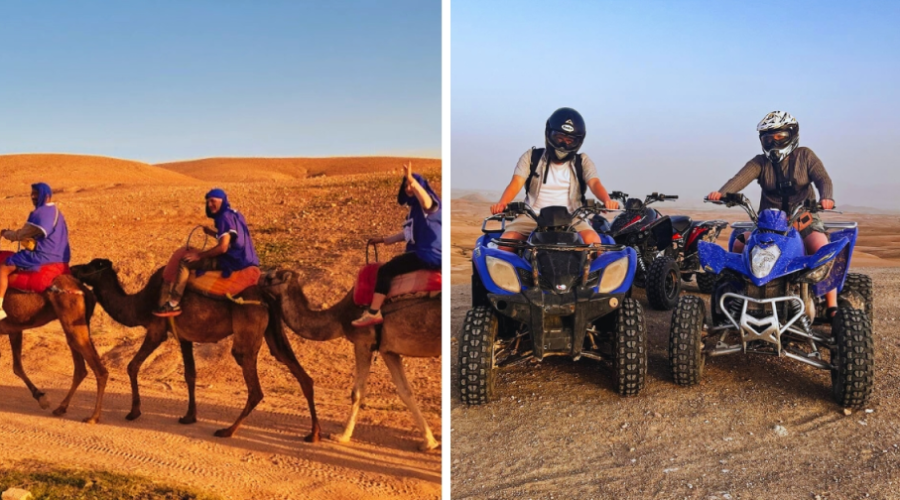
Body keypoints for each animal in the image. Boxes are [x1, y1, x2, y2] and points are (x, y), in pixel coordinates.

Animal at [0, 276, 107, 424]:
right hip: (73, 326)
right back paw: (61, 408)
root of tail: (83, 288)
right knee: (81, 369)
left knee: (100, 370)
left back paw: (93, 417)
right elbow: (17, 367)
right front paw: (41, 396)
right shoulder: (13, 328)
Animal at [72, 260, 322, 440]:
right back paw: (313, 434)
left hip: (248, 328)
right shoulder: (184, 337)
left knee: (254, 385)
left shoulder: (157, 329)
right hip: (273, 331)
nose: (73, 269)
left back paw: (227, 431)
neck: (140, 303)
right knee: (298, 371)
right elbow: (190, 374)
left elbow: (132, 366)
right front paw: (189, 416)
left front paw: (134, 412)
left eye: (90, 266)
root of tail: (266, 296)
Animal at [260, 270, 442, 454]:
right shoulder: (387, 350)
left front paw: (341, 436)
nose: (257, 278)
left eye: (270, 277)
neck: (340, 316)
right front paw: (429, 443)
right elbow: (405, 392)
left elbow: (357, 393)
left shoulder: (363, 341)